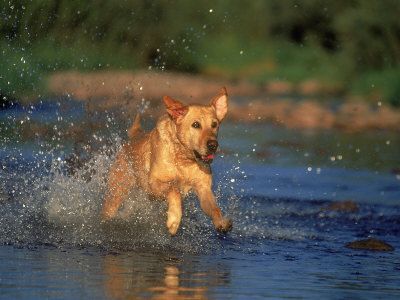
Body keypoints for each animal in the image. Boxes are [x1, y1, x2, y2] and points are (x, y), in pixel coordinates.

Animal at [101, 86, 233, 234]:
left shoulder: (203, 188)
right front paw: (174, 220)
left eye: (214, 124)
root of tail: (133, 137)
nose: (213, 145)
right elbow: (173, 190)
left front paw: (221, 222)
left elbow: (214, 208)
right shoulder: (154, 183)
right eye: (196, 125)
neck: (183, 159)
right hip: (116, 193)